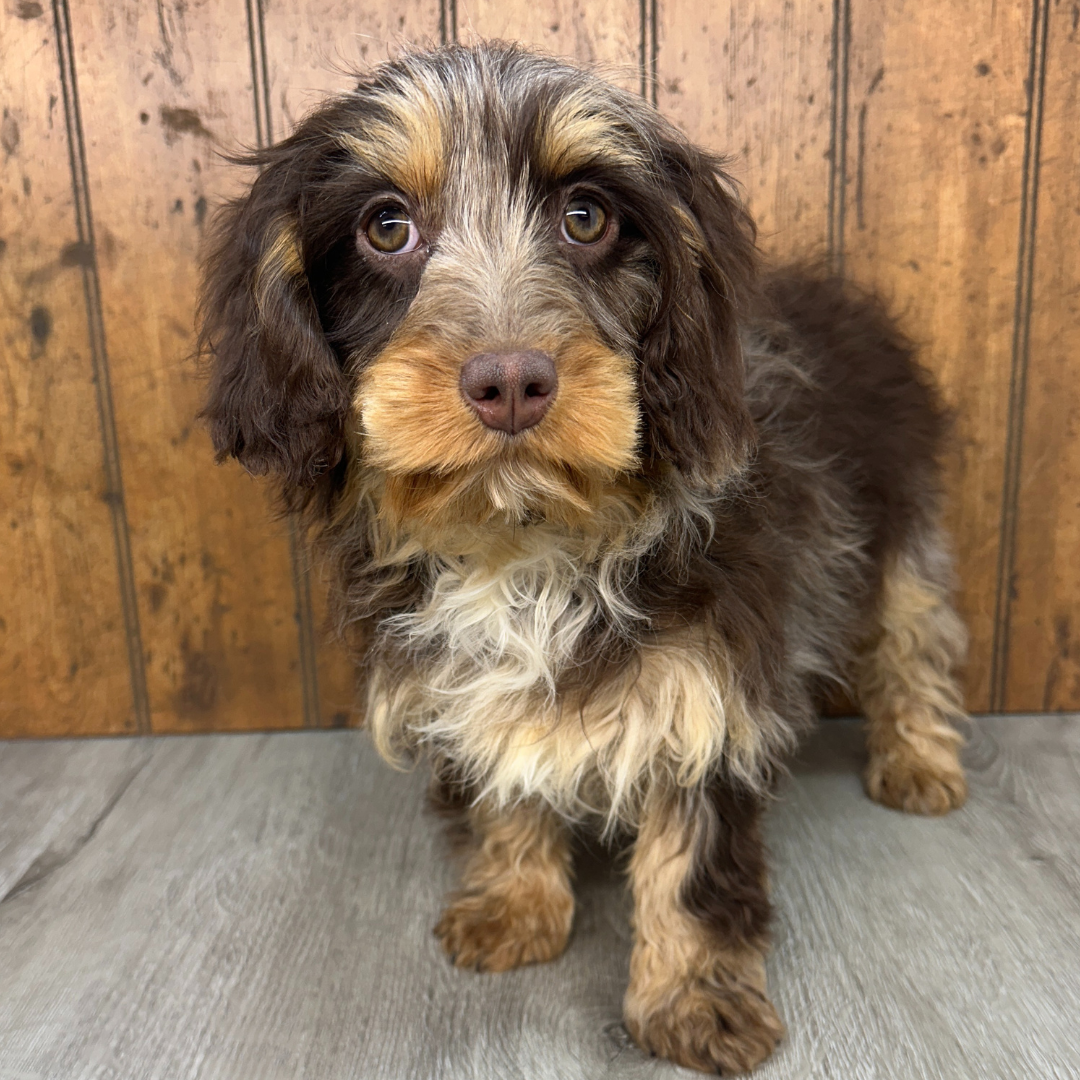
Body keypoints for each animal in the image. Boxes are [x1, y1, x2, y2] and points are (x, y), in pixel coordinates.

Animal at [196, 39, 972, 1071]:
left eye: (587, 217)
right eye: (386, 227)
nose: (510, 380)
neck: (526, 537)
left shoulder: (707, 689)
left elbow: (689, 864)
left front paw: (694, 999)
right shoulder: (463, 686)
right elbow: (504, 781)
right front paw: (515, 902)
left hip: (901, 535)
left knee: (911, 649)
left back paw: (919, 758)